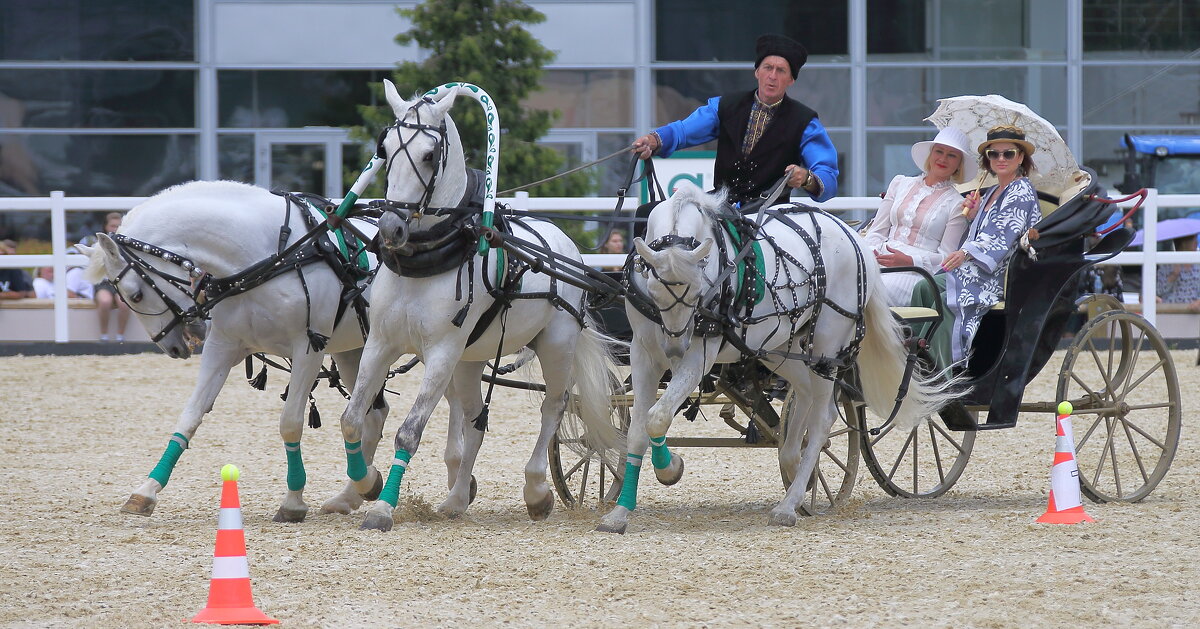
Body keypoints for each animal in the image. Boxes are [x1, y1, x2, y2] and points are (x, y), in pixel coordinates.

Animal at [81, 180, 398, 520]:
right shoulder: (222, 346)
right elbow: (190, 415)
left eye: (135, 295)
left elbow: (290, 423)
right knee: (370, 416)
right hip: (354, 351)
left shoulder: (309, 349)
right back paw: (354, 491)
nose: (174, 346)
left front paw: (293, 501)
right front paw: (146, 491)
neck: (269, 255)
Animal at [336, 79, 619, 530]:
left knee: (553, 407)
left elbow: (408, 431)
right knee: (475, 419)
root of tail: (565, 244)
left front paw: (381, 508)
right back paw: (455, 500)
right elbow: (351, 420)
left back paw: (537, 491)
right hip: (470, 360)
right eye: (384, 149)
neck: (427, 261)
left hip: (556, 344)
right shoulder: (380, 343)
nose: (391, 228)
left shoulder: (441, 352)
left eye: (429, 155)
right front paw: (365, 484)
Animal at [597, 181, 955, 530]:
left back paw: (789, 504)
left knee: (822, 419)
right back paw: (795, 465)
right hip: (780, 348)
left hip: (825, 349)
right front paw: (620, 512)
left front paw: (669, 468)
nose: (674, 350)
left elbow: (657, 417)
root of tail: (854, 238)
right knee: (805, 396)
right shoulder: (643, 353)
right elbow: (638, 429)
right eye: (653, 289)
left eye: (700, 291)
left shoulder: (700, 355)